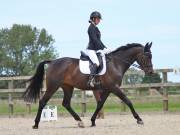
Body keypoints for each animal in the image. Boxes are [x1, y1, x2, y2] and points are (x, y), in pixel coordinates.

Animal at [23, 42, 153, 129]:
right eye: (147, 56)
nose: (151, 72)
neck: (116, 63)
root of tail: (52, 62)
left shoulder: (108, 89)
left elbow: (100, 104)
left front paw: (93, 121)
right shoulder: (114, 88)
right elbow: (127, 101)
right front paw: (139, 119)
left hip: (67, 87)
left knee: (66, 103)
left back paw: (80, 122)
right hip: (53, 86)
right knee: (43, 102)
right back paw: (35, 124)